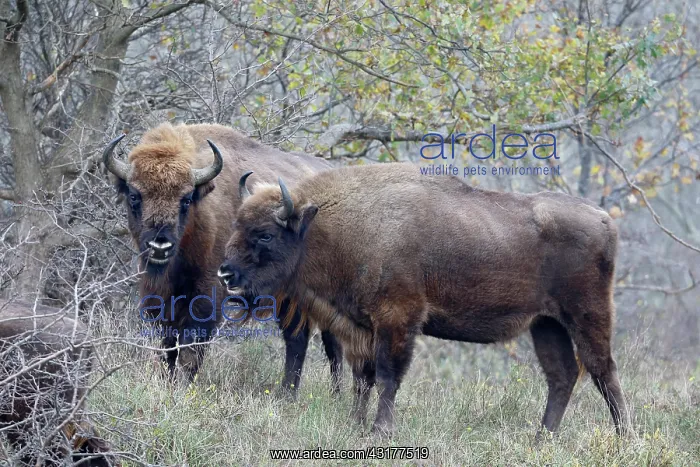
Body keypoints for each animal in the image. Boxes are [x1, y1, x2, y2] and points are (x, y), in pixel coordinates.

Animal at [103, 123, 342, 392]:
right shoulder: (159, 297)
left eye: (186, 199)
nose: (160, 245)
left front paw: (184, 388)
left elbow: (190, 351)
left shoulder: (207, 298)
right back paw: (288, 393)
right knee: (297, 338)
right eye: (135, 196)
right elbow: (167, 348)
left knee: (332, 346)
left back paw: (333, 394)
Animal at [219, 162, 629, 437]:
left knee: (603, 370)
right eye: (237, 223)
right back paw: (541, 439)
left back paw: (624, 439)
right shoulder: (361, 327)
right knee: (562, 376)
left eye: (265, 234)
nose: (225, 273)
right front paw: (355, 424)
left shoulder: (397, 320)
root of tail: (604, 219)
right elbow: (362, 378)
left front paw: (380, 431)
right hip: (546, 324)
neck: (333, 225)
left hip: (587, 314)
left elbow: (387, 376)